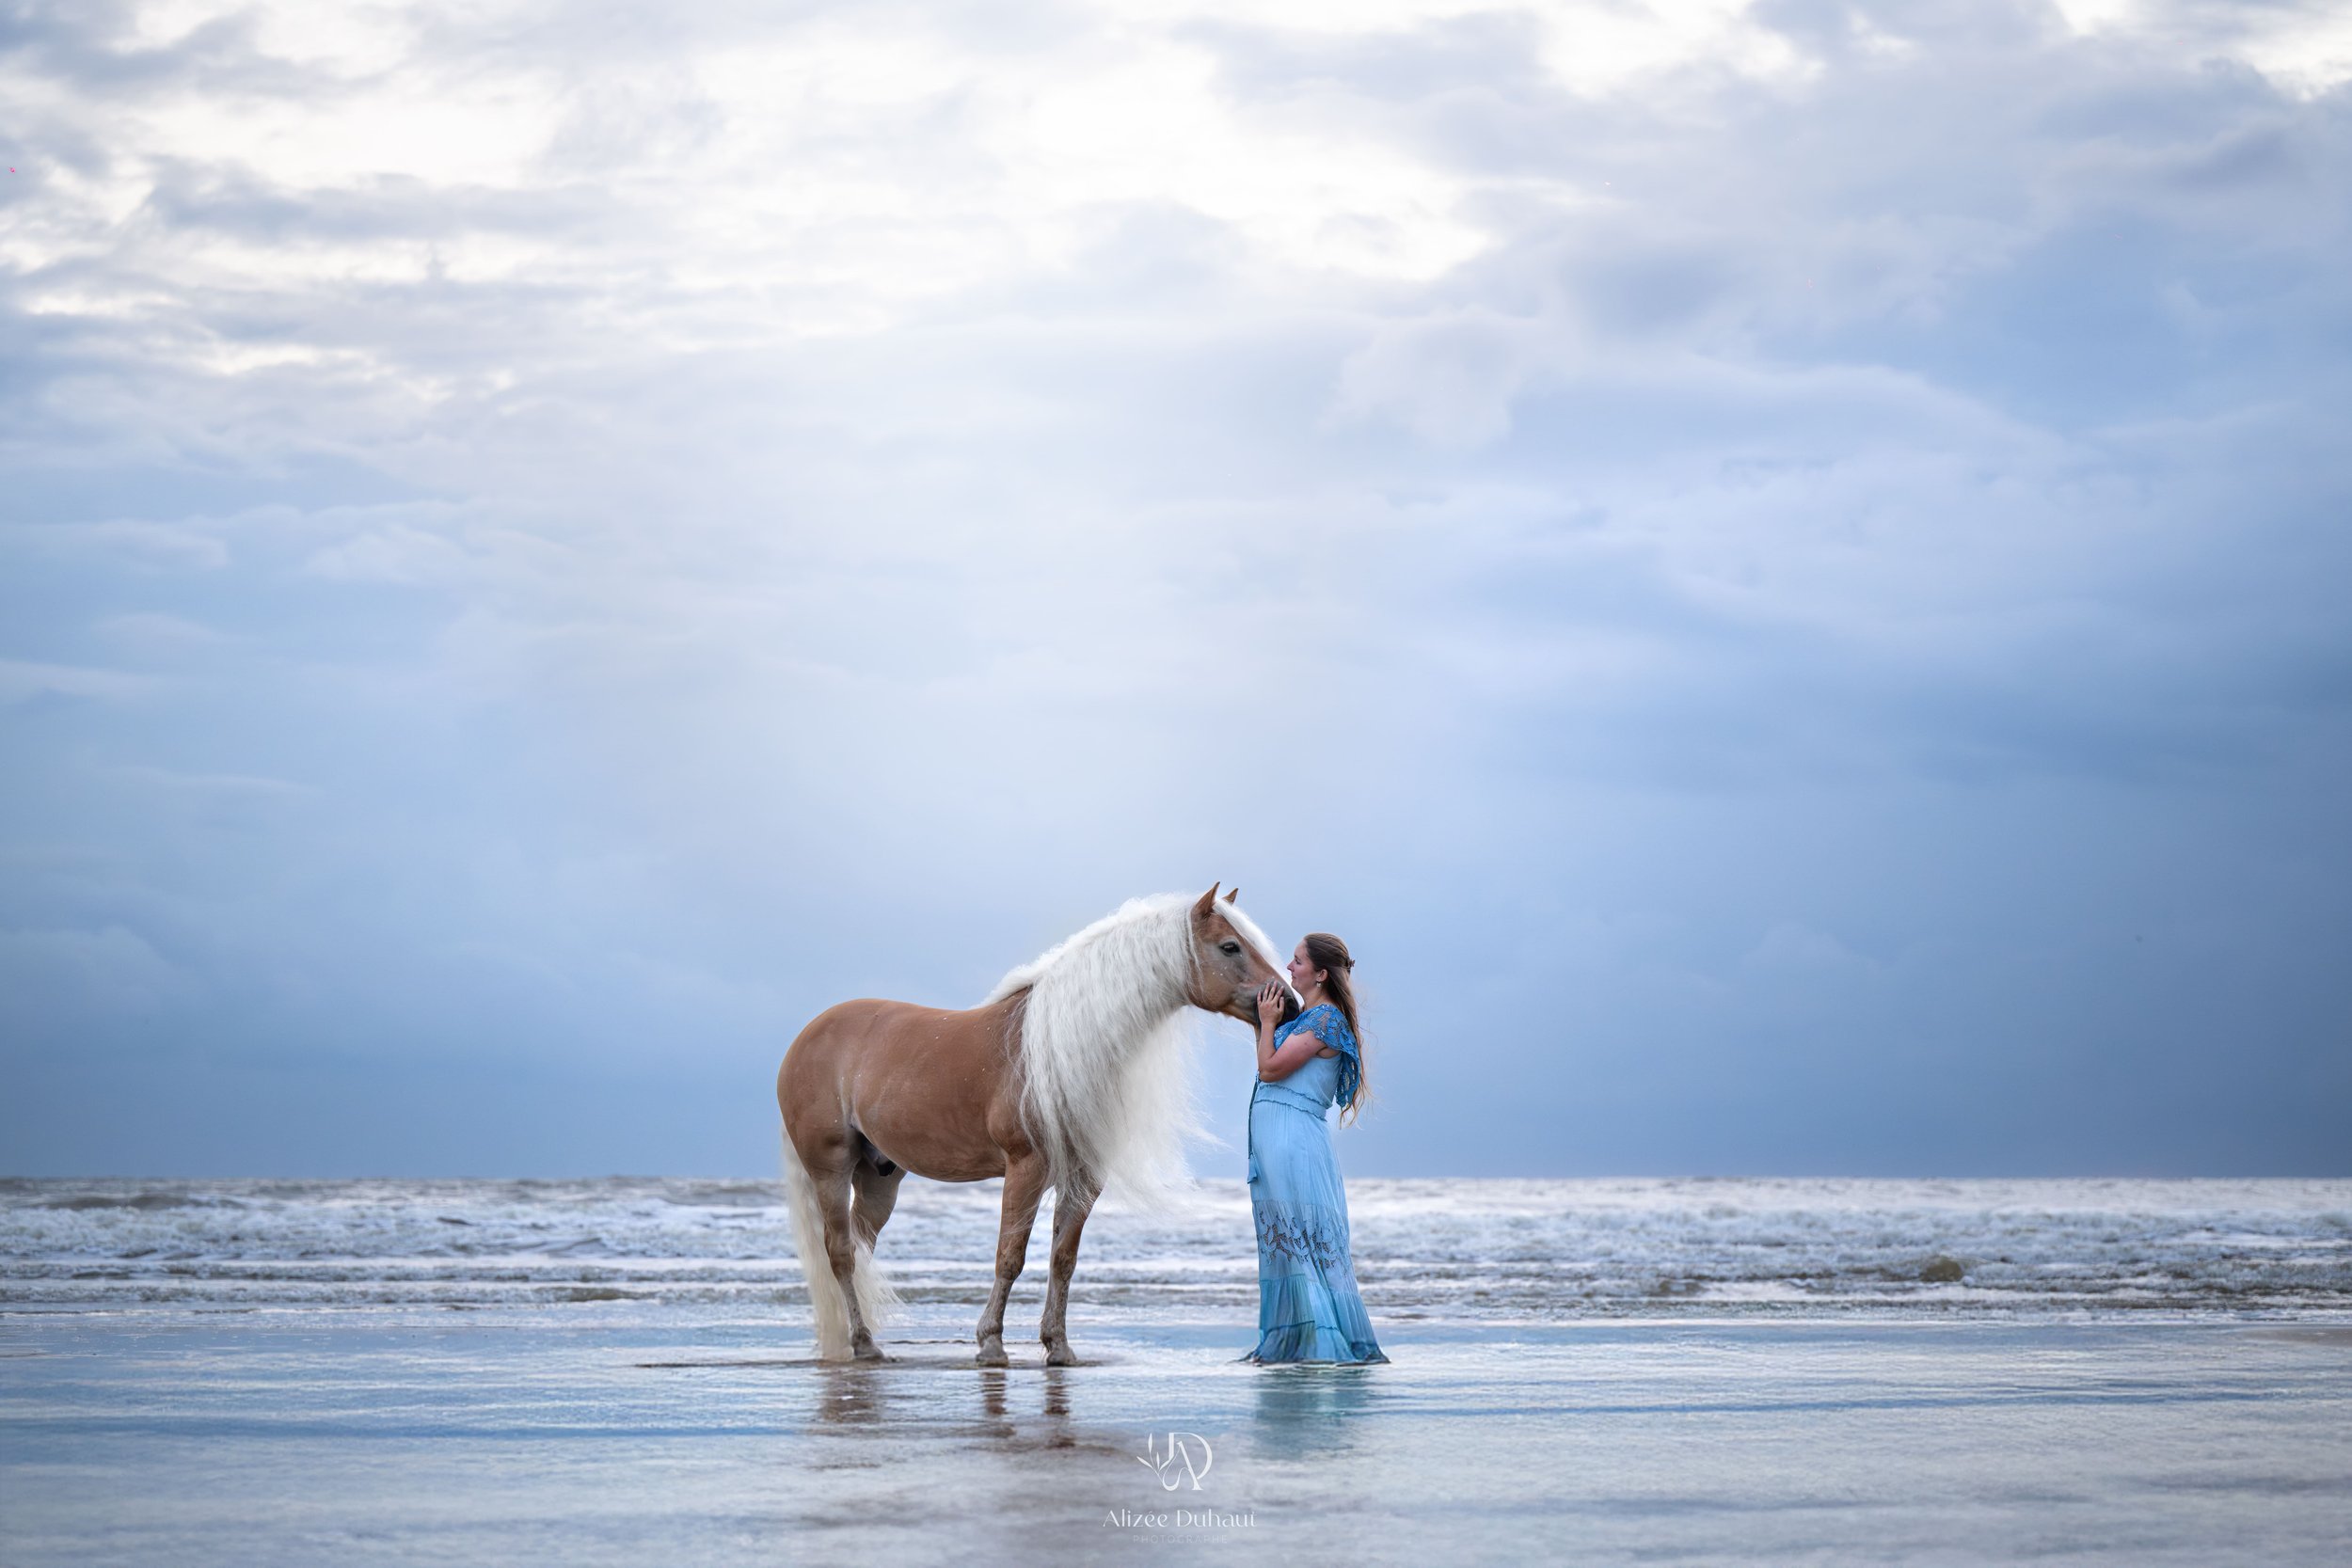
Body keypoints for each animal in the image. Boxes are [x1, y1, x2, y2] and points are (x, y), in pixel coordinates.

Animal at [775, 883, 1298, 1365]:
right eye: (1230, 947)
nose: (1289, 1005)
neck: (1063, 1048)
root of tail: (806, 1037)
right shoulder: (1025, 1169)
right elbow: (1011, 1257)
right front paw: (991, 1344)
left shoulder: (1084, 1177)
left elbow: (1062, 1259)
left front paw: (1058, 1346)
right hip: (831, 1168)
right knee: (841, 1253)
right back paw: (863, 1343)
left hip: (880, 1175)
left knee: (860, 1247)